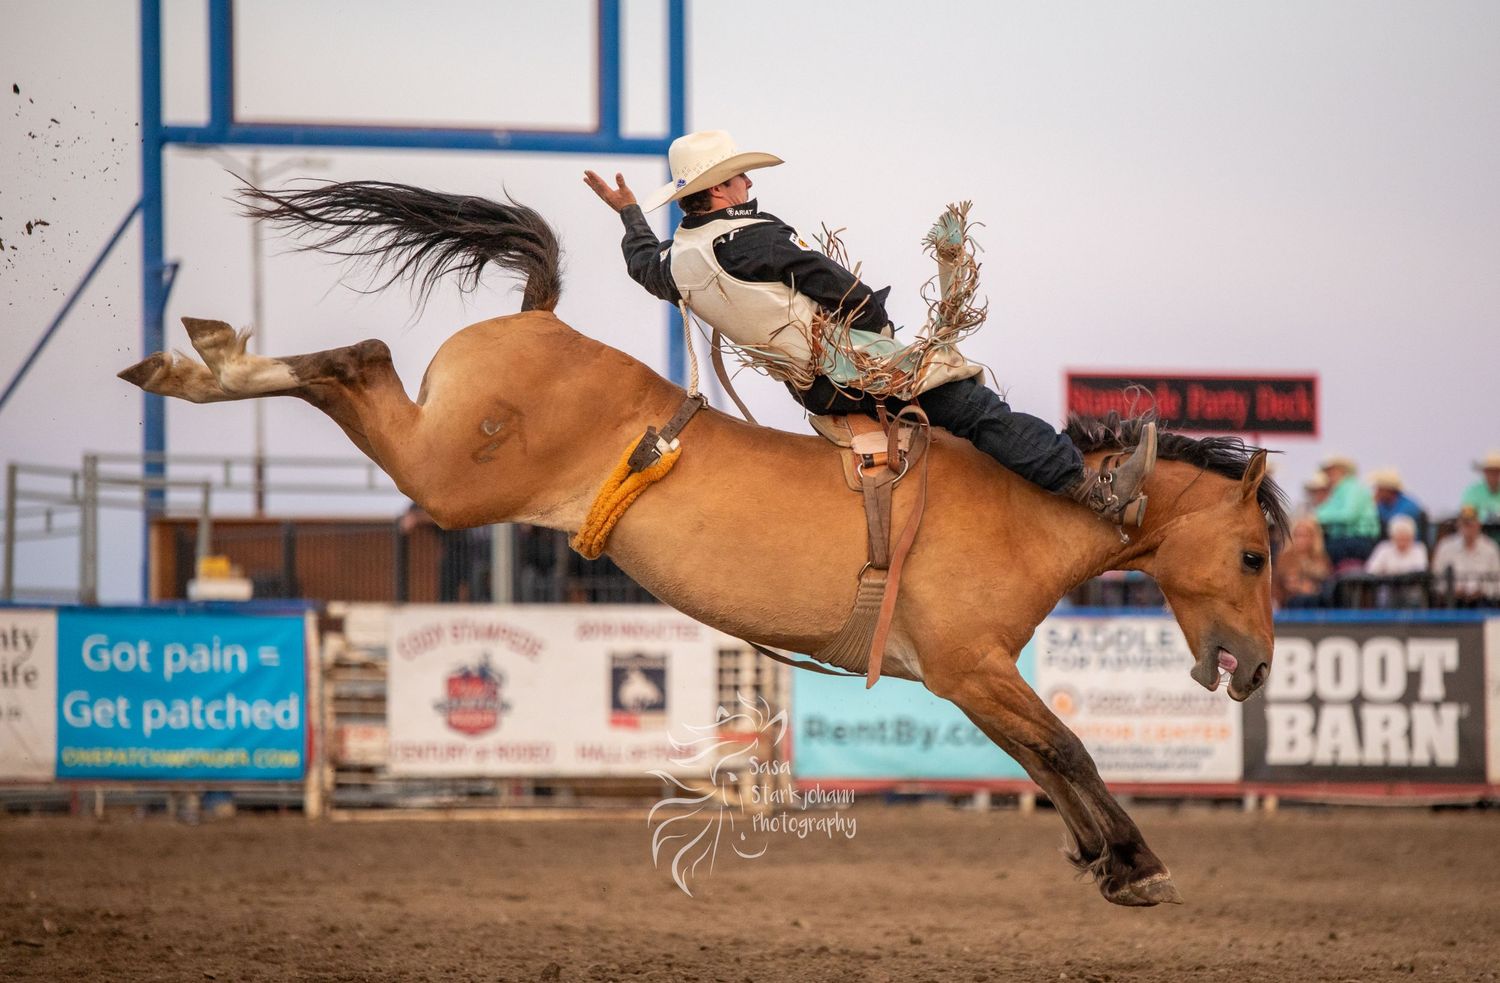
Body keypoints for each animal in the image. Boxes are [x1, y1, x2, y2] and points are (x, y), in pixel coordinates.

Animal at [119, 181, 1289, 907]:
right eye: (1253, 556)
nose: (1255, 666)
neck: (1027, 505)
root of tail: (540, 318)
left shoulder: (968, 677)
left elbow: (1040, 756)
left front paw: (1103, 858)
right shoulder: (973, 664)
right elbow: (1066, 746)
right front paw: (1136, 862)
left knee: (352, 361)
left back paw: (190, 360)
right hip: (446, 474)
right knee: (358, 359)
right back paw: (204, 361)